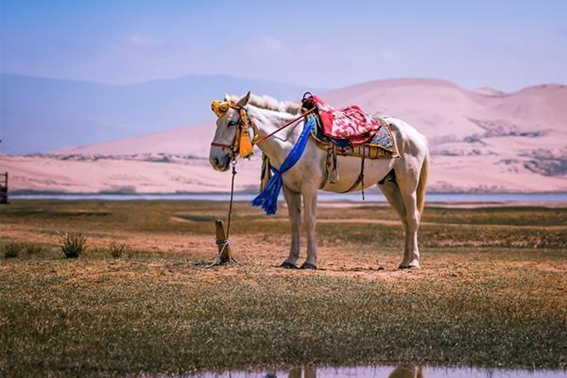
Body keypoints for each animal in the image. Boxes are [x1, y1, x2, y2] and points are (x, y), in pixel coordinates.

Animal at [210, 92, 430, 268]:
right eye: (217, 122)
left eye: (231, 122)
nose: (215, 160)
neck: (291, 138)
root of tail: (418, 136)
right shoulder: (290, 188)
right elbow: (295, 222)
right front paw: (290, 260)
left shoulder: (310, 186)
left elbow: (310, 221)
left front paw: (310, 262)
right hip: (390, 185)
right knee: (405, 219)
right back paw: (404, 261)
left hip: (407, 183)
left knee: (413, 217)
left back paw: (413, 262)